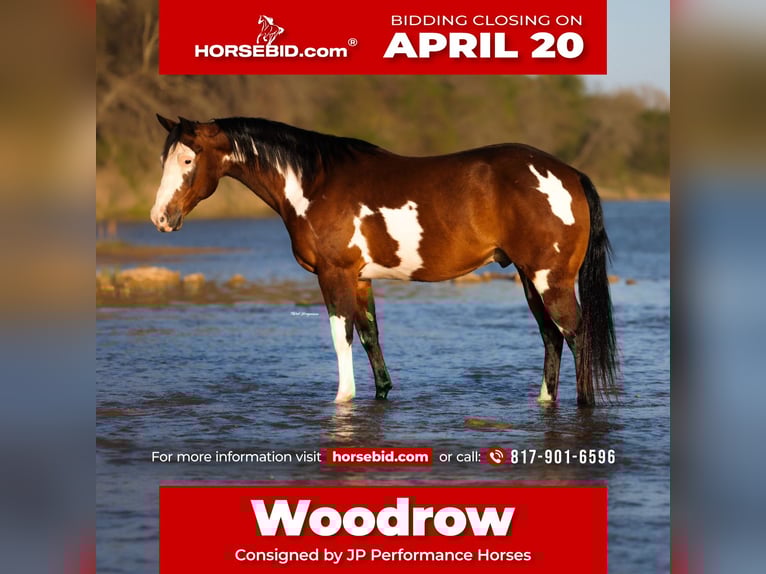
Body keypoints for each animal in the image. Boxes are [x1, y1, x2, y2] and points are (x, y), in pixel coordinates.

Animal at [151, 114, 619, 407]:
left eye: (188, 159)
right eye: (163, 159)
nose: (160, 218)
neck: (313, 184)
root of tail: (569, 174)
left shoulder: (334, 275)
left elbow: (341, 336)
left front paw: (342, 399)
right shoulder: (360, 279)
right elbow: (370, 336)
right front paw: (381, 392)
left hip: (549, 278)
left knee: (576, 334)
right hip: (527, 276)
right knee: (551, 336)